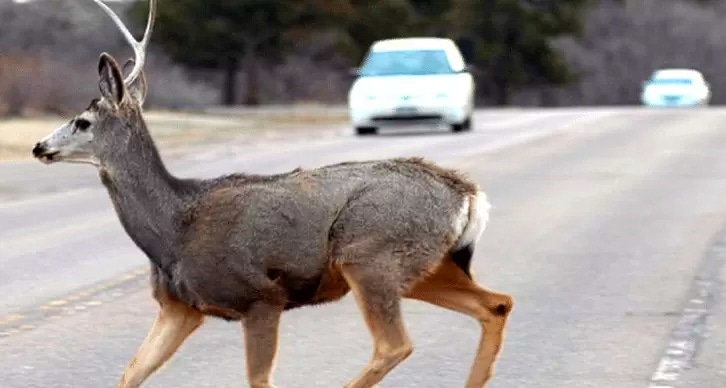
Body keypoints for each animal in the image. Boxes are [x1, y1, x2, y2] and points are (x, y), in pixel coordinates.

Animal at [29, 0, 516, 388]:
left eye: (82, 122)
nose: (38, 146)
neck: (173, 230)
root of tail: (467, 193)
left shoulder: (261, 297)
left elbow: (258, 380)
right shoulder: (179, 307)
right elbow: (129, 374)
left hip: (371, 254)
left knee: (395, 344)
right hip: (425, 267)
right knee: (495, 304)